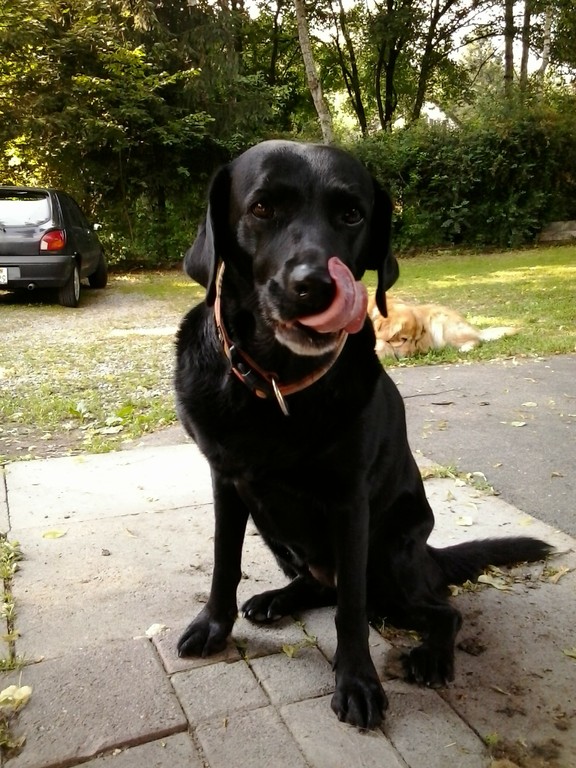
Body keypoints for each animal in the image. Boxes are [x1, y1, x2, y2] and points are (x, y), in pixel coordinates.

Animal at [369, 295, 518, 358]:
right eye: (404, 339)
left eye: (416, 340)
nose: (411, 356)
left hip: (443, 326)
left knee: (477, 340)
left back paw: (465, 348)